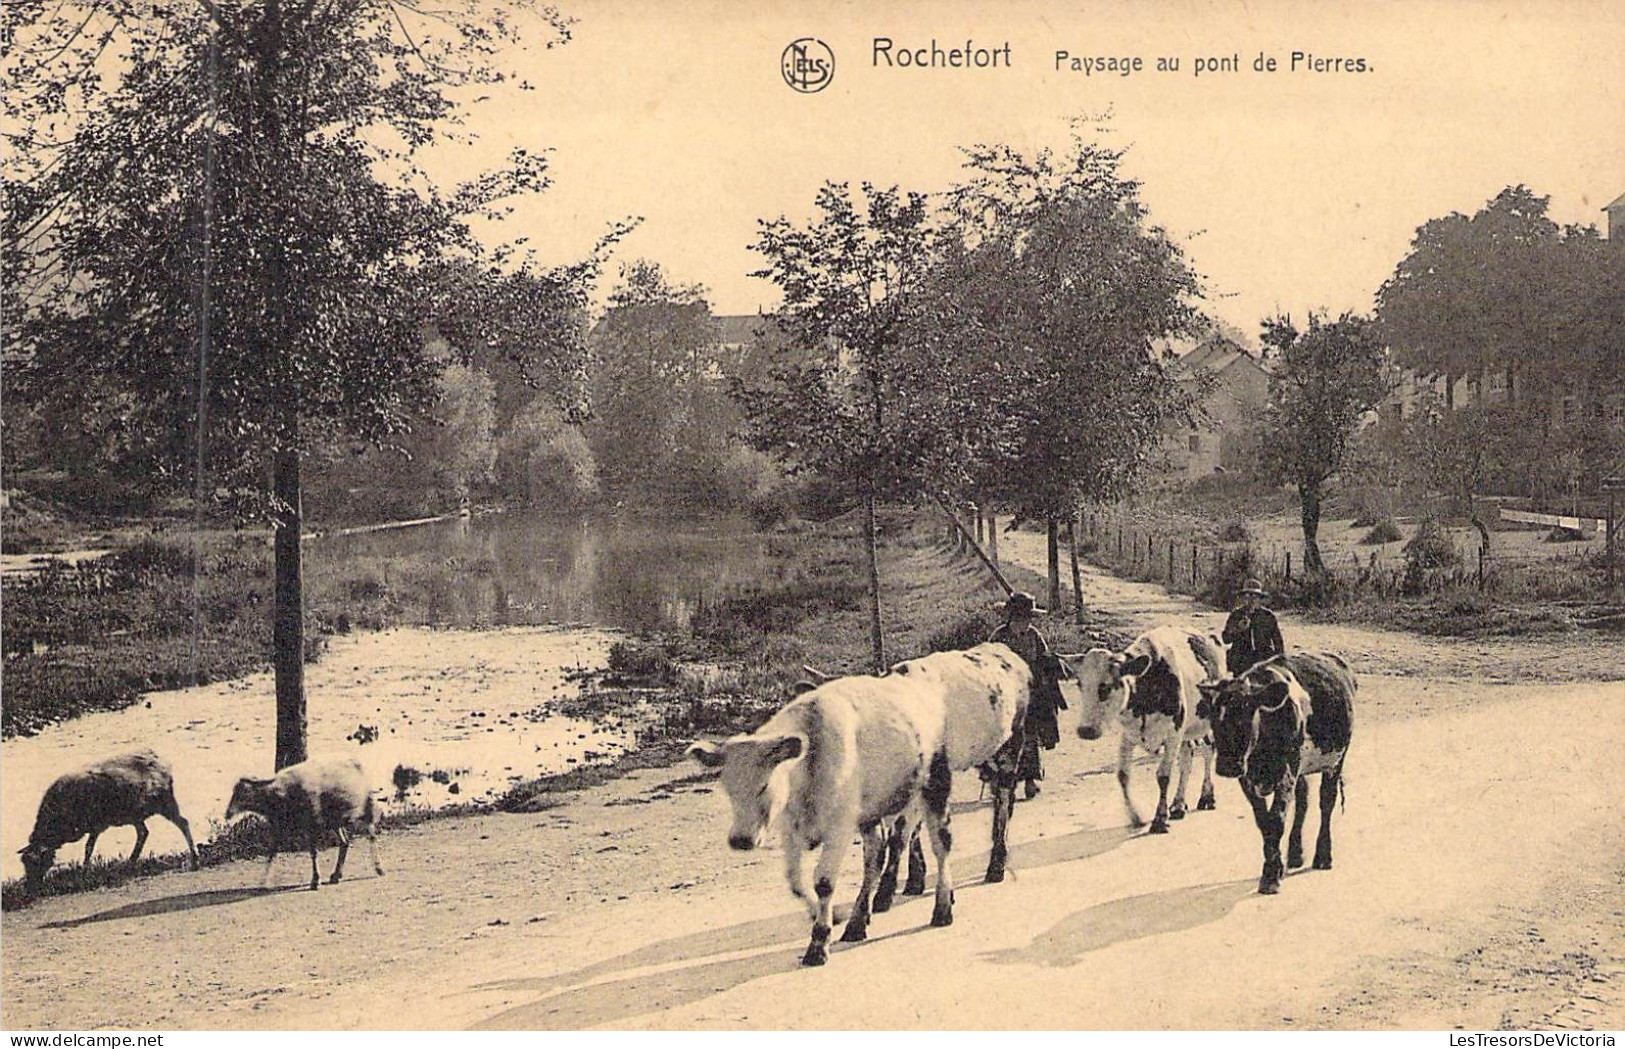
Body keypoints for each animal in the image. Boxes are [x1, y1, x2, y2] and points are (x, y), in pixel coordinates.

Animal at [19, 746, 199, 896]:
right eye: (24, 863)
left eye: (37, 863)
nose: (30, 890)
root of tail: (159, 761)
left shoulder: (97, 826)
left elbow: (88, 848)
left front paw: (84, 871)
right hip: (135, 814)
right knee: (143, 833)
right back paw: (130, 862)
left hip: (165, 803)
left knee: (183, 823)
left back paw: (195, 858)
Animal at [225, 759, 383, 889]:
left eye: (245, 792)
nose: (227, 814)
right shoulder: (279, 828)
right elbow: (271, 852)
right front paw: (264, 881)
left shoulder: (311, 825)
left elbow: (313, 852)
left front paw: (315, 881)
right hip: (335, 820)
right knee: (344, 843)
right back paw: (336, 876)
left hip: (366, 808)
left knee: (372, 836)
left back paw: (379, 869)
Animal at [689, 646, 1027, 974]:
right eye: (728, 788)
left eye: (763, 786)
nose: (741, 840)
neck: (811, 758)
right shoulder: (792, 830)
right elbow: (796, 882)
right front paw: (834, 916)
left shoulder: (839, 827)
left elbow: (824, 881)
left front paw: (818, 943)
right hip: (875, 810)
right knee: (877, 858)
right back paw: (858, 921)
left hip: (937, 785)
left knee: (944, 843)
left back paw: (945, 905)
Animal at [1079, 623, 1222, 837]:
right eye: (1079, 684)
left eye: (1105, 687)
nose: (1085, 730)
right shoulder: (1129, 735)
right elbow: (1123, 775)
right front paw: (1135, 817)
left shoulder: (1172, 734)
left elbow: (1163, 776)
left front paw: (1159, 820)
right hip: (1187, 730)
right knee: (1187, 759)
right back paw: (1178, 804)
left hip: (1206, 722)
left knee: (1208, 751)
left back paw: (1206, 797)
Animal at [1202, 652, 1352, 889]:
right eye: (1213, 719)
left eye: (1247, 716)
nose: (1227, 766)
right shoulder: (1247, 779)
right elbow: (1264, 821)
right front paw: (1275, 867)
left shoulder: (1286, 772)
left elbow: (1277, 819)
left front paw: (1271, 876)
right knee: (1303, 801)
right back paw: (1296, 854)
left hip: (1336, 759)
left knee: (1326, 802)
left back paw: (1323, 856)